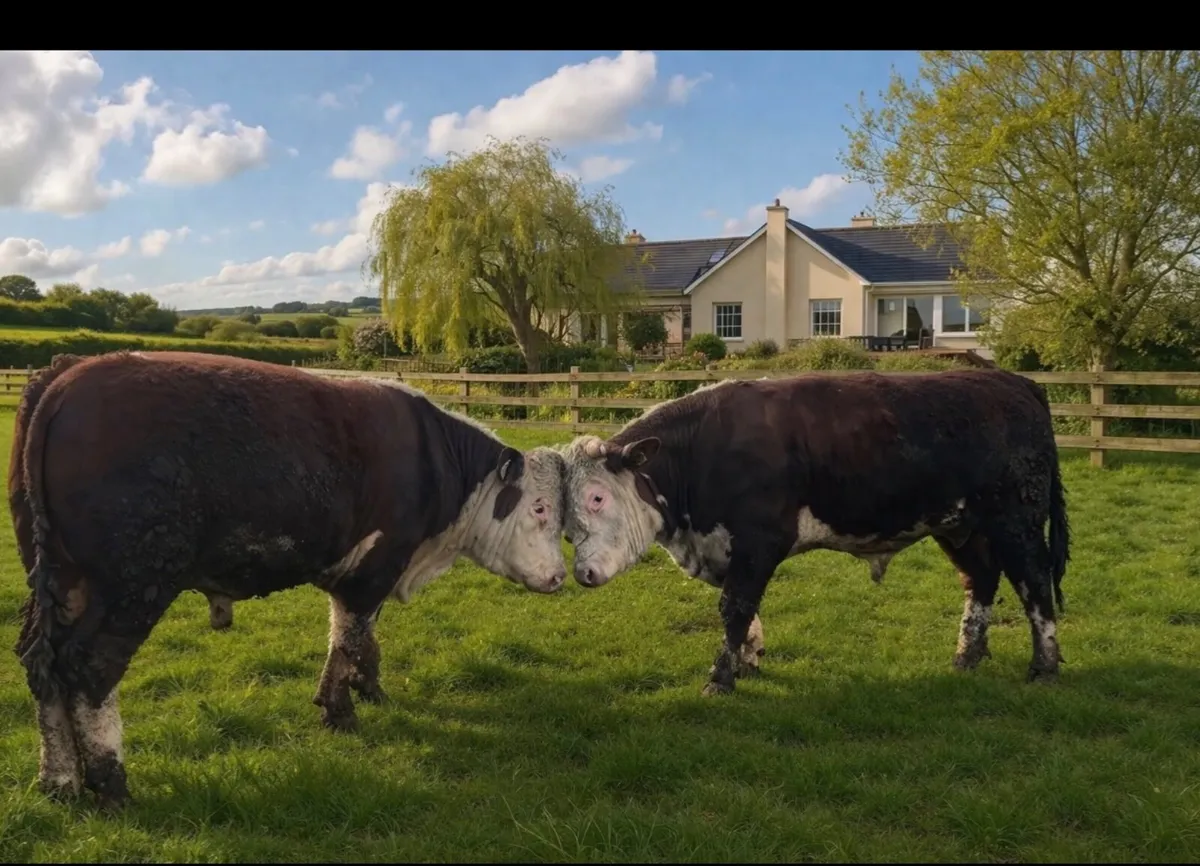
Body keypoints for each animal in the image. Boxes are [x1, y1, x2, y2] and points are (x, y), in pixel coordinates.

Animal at [10, 351, 569, 809]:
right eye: (540, 508)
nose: (561, 576)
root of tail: (70, 375)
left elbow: (355, 636)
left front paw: (367, 687)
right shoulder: (376, 564)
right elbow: (349, 636)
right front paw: (341, 710)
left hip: (60, 582)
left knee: (44, 667)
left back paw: (59, 780)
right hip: (132, 583)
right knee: (90, 671)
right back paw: (111, 785)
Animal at [559, 368, 1070, 699]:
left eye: (598, 498)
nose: (582, 574)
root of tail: (1014, 383)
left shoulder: (760, 540)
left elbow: (734, 608)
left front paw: (721, 678)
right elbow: (744, 611)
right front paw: (748, 662)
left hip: (1016, 521)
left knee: (1034, 584)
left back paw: (1044, 667)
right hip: (959, 524)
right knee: (980, 580)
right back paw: (967, 656)